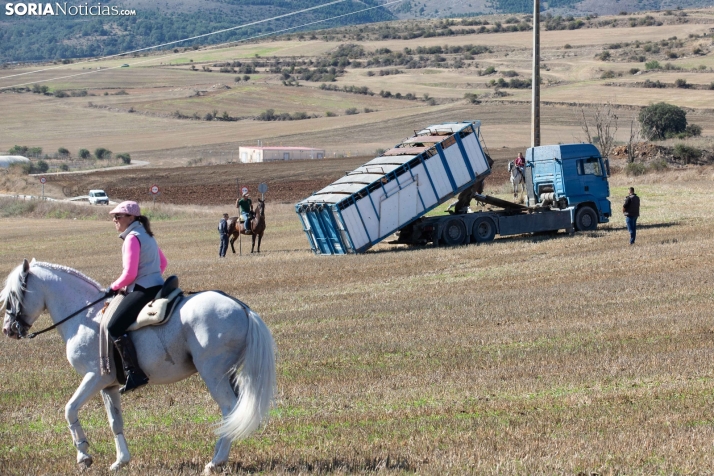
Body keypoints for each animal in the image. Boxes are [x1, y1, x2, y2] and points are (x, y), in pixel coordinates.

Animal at [1, 260, 276, 472]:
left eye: (13, 296)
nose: (9, 330)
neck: (85, 317)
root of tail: (242, 308)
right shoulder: (108, 385)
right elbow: (115, 421)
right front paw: (120, 462)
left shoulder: (94, 377)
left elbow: (69, 409)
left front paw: (84, 456)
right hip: (228, 374)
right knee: (235, 411)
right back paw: (220, 458)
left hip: (213, 374)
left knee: (229, 408)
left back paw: (215, 462)